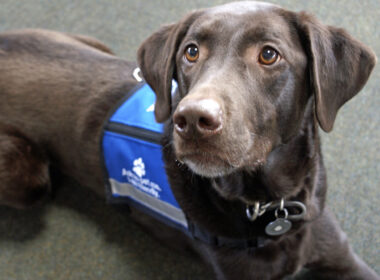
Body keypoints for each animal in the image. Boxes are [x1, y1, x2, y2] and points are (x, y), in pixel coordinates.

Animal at [0, 1, 378, 278]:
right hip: (28, 178)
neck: (271, 206)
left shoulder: (345, 258)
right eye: (191, 52)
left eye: (269, 54)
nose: (193, 119)